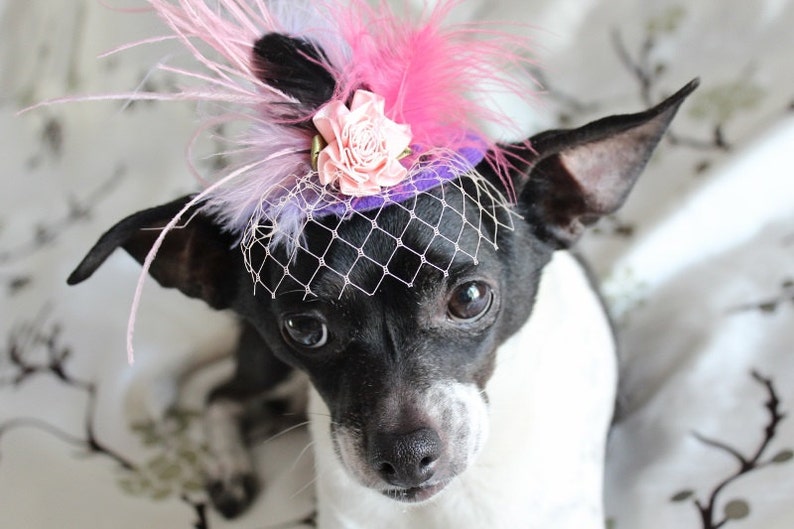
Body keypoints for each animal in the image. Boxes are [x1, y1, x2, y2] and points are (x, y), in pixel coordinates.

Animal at [69, 59, 692, 524]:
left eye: (470, 298)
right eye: (304, 328)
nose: (406, 457)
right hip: (264, 370)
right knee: (221, 396)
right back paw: (230, 465)